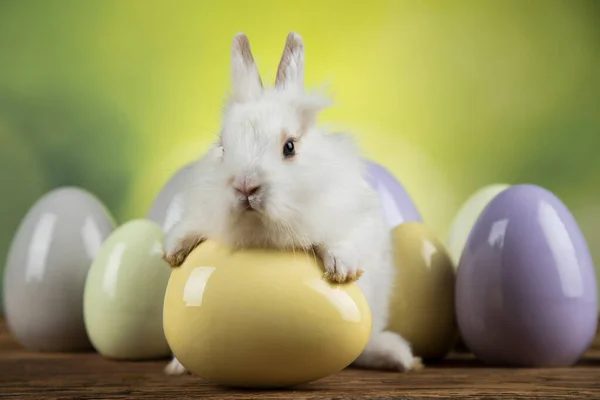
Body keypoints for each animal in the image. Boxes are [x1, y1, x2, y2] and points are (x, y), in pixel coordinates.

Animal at [162, 31, 420, 376]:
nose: (245, 185)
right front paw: (173, 252)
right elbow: (187, 226)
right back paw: (179, 366)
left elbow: (343, 241)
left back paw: (397, 357)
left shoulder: (357, 218)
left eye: (289, 147)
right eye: (222, 147)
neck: (262, 230)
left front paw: (341, 270)